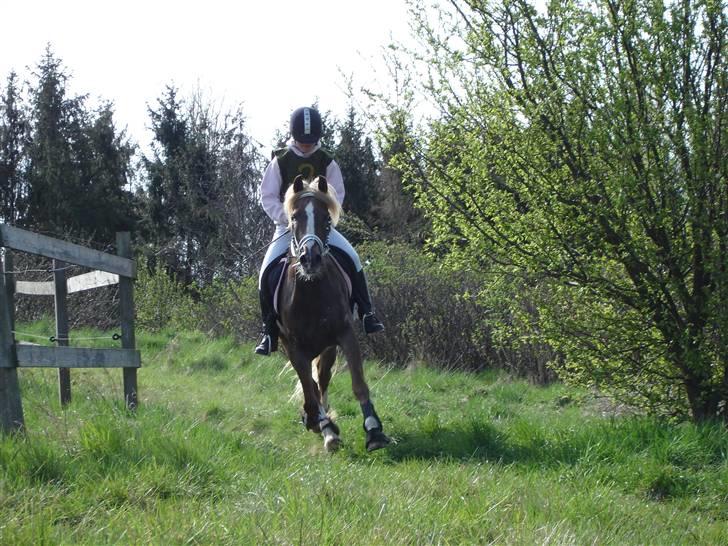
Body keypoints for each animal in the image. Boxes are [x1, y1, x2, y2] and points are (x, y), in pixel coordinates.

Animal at [276, 174, 390, 450]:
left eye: (326, 218)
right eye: (294, 217)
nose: (310, 259)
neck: (311, 291)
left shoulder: (345, 334)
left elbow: (358, 384)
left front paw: (374, 430)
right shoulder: (294, 348)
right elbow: (309, 390)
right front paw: (322, 425)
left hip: (326, 348)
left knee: (322, 379)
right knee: (313, 386)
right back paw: (322, 425)